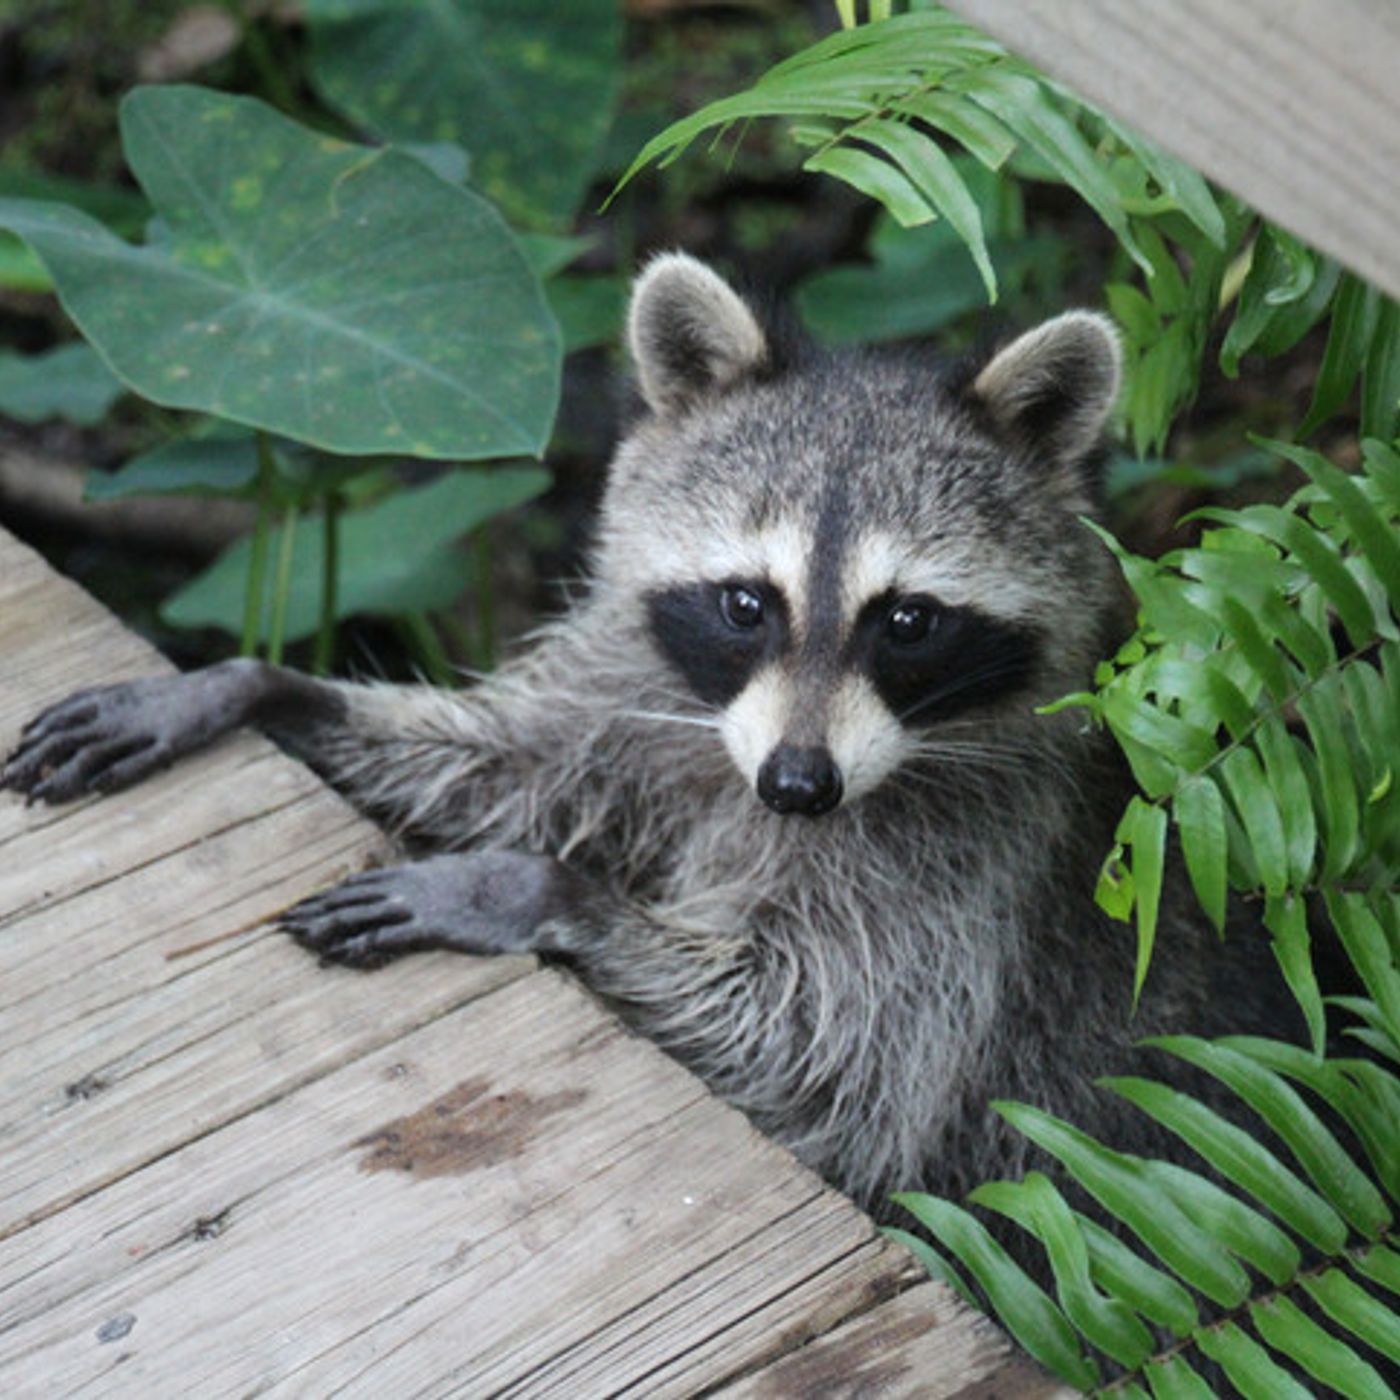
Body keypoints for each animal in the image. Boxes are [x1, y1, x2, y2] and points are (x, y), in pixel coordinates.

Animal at [2, 254, 1292, 1217]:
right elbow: (510, 764)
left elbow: (825, 1060)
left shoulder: (969, 865)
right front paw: (253, 685)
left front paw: (530, 887)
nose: (799, 786)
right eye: (745, 601)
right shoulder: (644, 696)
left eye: (907, 621)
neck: (747, 756)